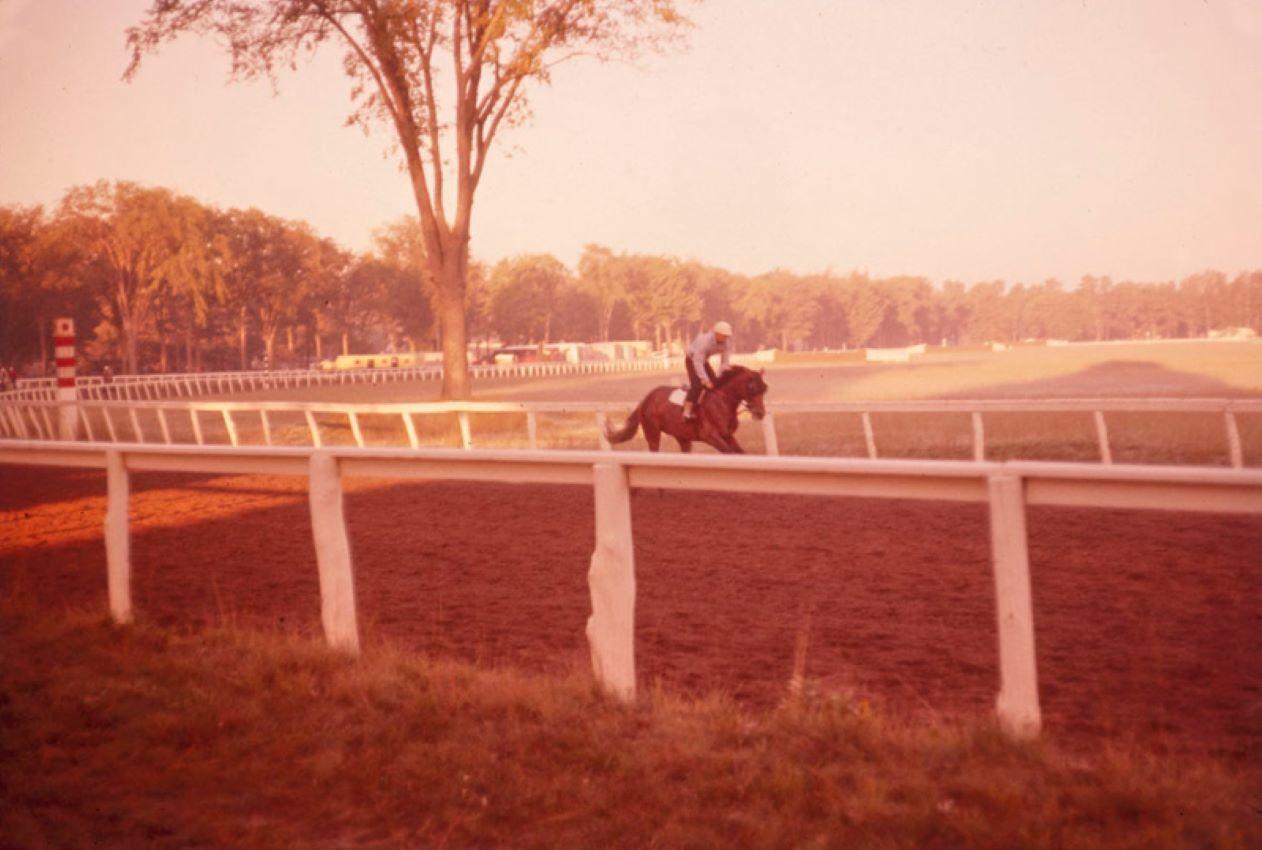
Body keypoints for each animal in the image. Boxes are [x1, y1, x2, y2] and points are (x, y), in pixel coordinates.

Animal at [603, 365, 767, 454]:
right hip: (652, 433)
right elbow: (729, 452)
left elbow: (741, 453)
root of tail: (645, 400)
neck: (722, 401)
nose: (760, 413)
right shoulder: (710, 436)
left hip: (682, 437)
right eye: (752, 387)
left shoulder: (727, 436)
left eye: (764, 389)